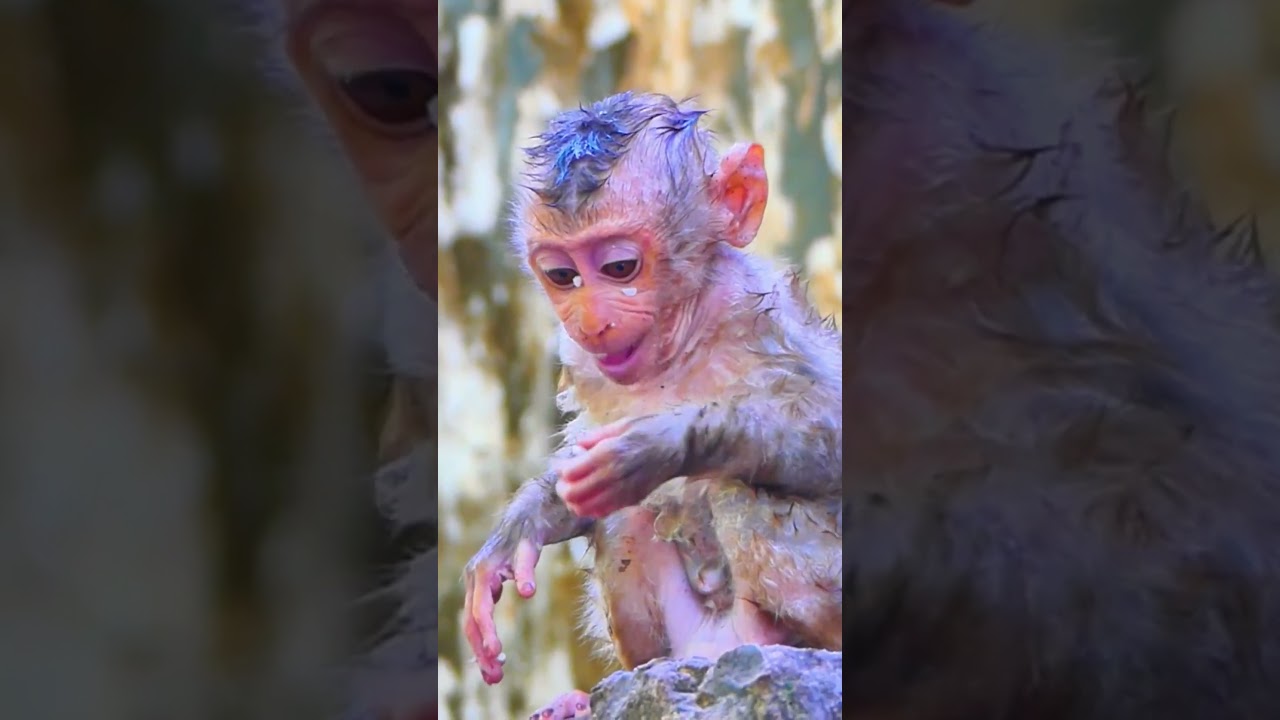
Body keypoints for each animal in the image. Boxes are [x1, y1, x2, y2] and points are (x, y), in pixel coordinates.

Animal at [460, 91, 842, 719]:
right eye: (562, 275)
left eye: (619, 268)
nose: (591, 321)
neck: (684, 340)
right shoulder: (586, 363)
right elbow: (580, 475)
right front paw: (523, 527)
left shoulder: (760, 319)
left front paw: (662, 444)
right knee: (624, 516)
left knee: (737, 495)